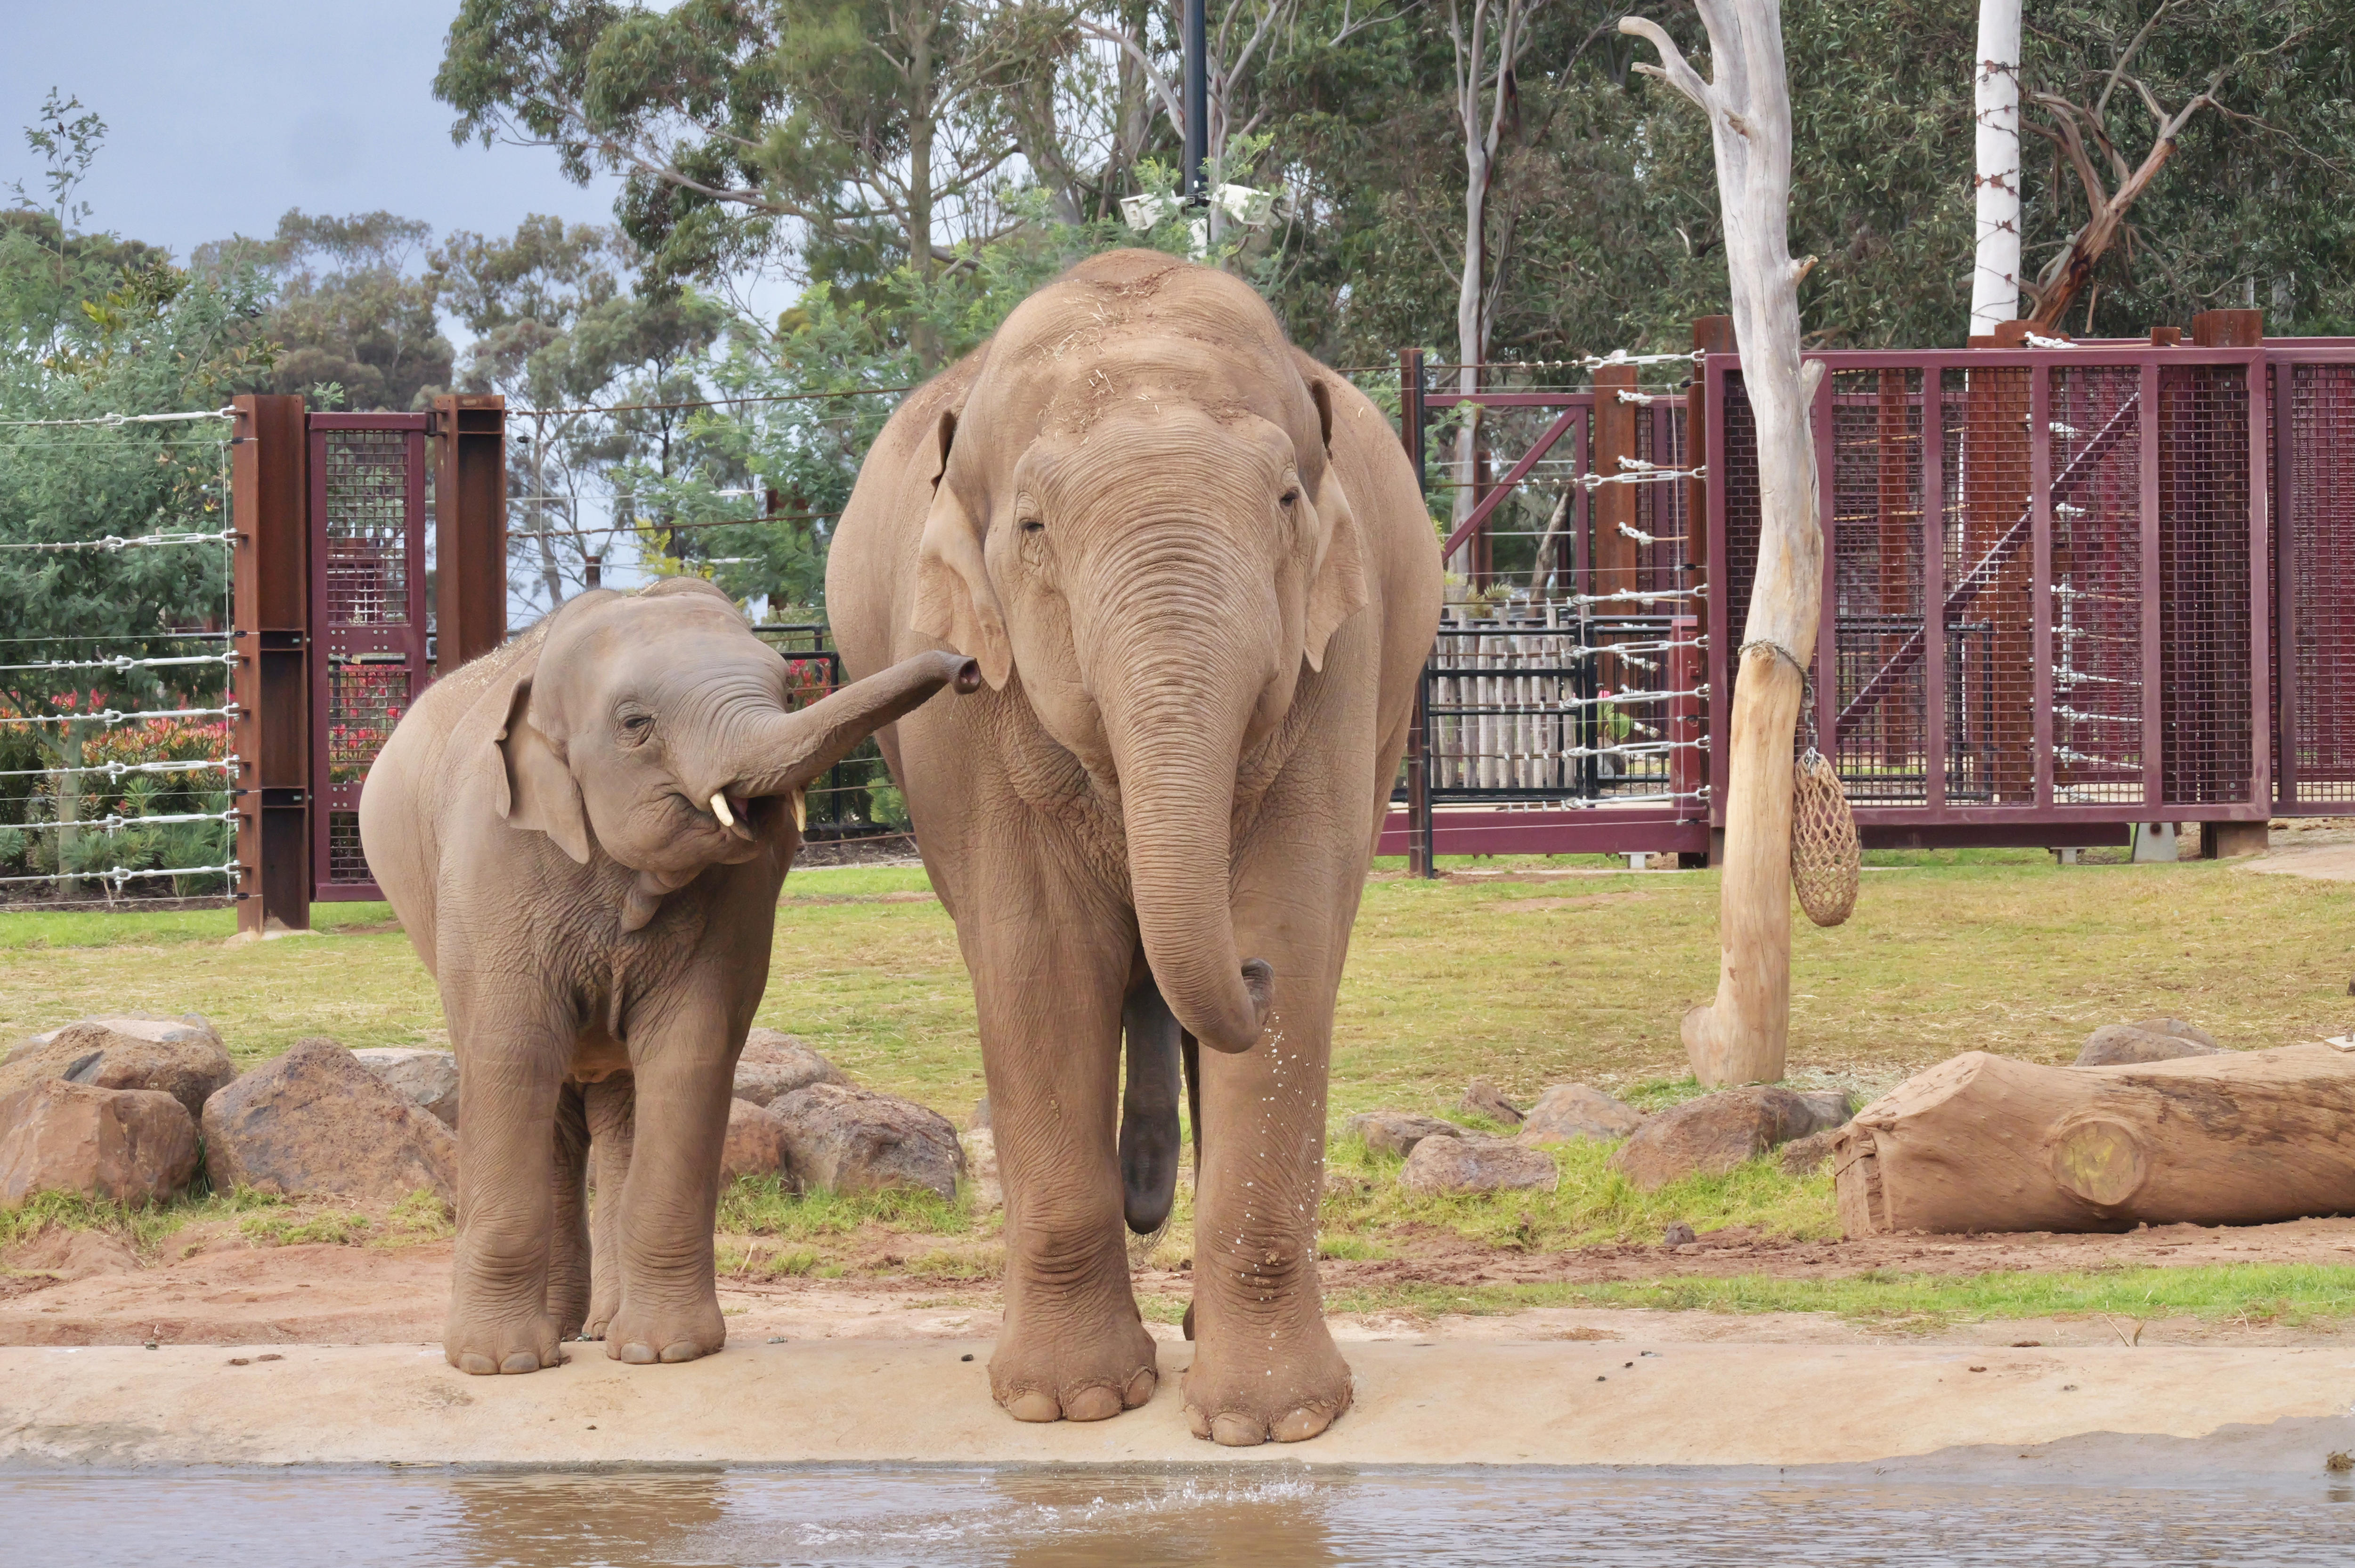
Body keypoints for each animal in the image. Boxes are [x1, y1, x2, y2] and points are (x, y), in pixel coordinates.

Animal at [358, 578, 976, 1375]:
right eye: (635, 724)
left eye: (786, 688)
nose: (968, 666)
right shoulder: (490, 861)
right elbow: (510, 1050)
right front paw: (500, 1365)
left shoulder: (736, 902)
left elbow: (690, 1051)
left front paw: (667, 1352)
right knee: (549, 1100)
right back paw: (563, 1334)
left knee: (619, 1109)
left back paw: (601, 1330)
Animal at [826, 249, 1442, 1444]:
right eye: (1032, 528)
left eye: (1287, 501)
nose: (1246, 974)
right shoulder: (970, 702)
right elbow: (1038, 959)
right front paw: (1066, 1405)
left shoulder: (1337, 662)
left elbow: (1292, 924)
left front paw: (1270, 1425)